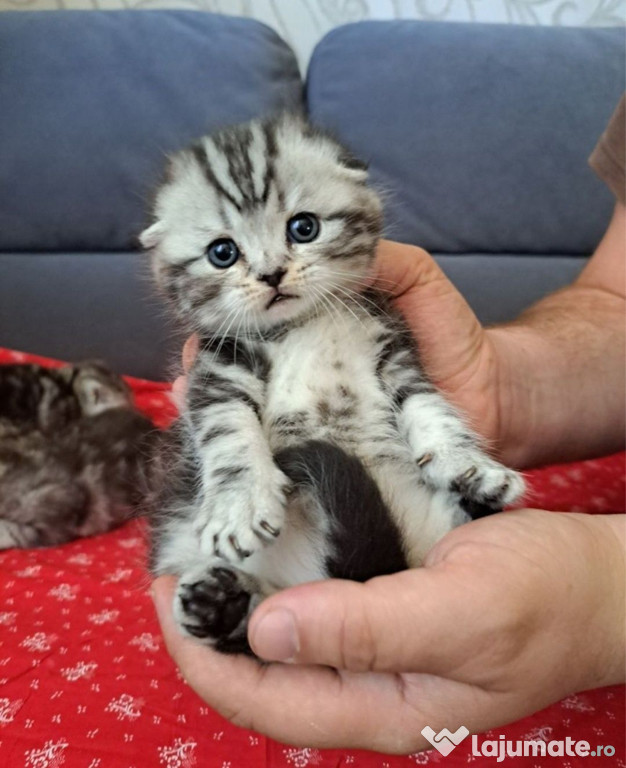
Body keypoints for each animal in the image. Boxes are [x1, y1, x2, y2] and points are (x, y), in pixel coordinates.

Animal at [140, 112, 520, 656]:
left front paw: (468, 465)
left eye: (304, 227)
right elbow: (228, 432)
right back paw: (219, 605)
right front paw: (240, 504)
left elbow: (430, 408)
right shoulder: (218, 369)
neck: (305, 325)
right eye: (222, 253)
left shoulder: (395, 350)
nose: (272, 274)